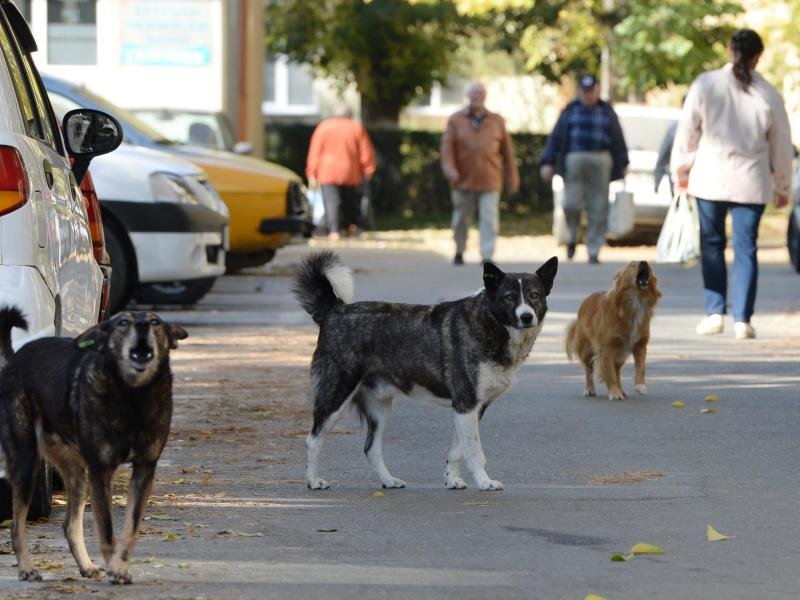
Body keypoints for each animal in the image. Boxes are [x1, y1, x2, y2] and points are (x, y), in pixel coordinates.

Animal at [0, 308, 186, 584]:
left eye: (155, 321)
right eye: (123, 322)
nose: (142, 326)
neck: (132, 396)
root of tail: (14, 359)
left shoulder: (144, 469)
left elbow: (130, 528)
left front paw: (120, 566)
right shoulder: (101, 471)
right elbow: (107, 530)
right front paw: (114, 568)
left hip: (77, 474)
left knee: (69, 524)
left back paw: (86, 566)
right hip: (27, 462)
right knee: (16, 526)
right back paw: (27, 569)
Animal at [292, 251, 556, 490]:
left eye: (534, 295)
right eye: (509, 298)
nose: (526, 316)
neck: (489, 321)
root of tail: (334, 310)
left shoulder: (469, 410)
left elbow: (458, 450)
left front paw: (452, 479)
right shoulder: (466, 405)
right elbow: (474, 452)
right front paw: (484, 481)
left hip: (380, 408)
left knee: (371, 448)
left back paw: (388, 481)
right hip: (335, 396)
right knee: (313, 440)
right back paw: (313, 481)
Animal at [564, 262, 664, 398]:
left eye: (648, 265)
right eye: (632, 264)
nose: (644, 262)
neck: (635, 302)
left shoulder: (640, 345)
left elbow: (641, 367)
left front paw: (640, 385)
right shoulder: (606, 348)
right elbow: (609, 373)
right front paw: (614, 392)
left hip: (620, 352)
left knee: (617, 371)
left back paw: (621, 389)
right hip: (587, 350)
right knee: (588, 370)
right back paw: (590, 388)